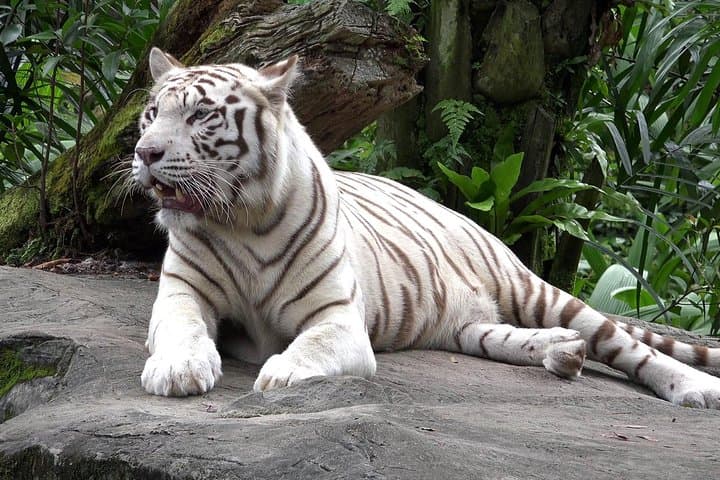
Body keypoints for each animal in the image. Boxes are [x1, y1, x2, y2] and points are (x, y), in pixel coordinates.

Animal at [132, 47, 720, 408]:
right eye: (152, 113)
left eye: (201, 116)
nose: (144, 152)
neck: (240, 220)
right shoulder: (181, 293)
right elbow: (182, 327)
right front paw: (178, 369)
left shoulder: (338, 318)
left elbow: (312, 345)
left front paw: (283, 375)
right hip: (464, 324)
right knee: (502, 334)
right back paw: (562, 351)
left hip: (536, 289)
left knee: (628, 346)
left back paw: (694, 386)